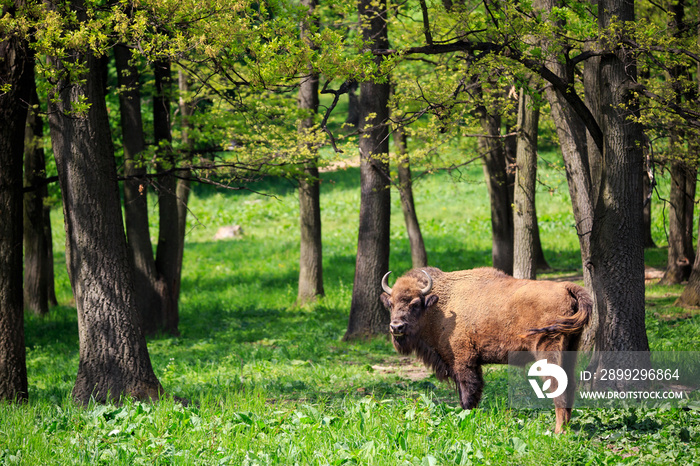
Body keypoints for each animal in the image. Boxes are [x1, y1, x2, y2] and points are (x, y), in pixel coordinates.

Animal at [382, 268, 592, 436]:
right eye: (391, 304)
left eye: (415, 304)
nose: (396, 327)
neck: (442, 305)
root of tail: (565, 287)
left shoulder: (464, 361)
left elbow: (469, 393)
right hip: (571, 349)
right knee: (570, 385)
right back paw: (566, 428)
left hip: (547, 351)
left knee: (558, 387)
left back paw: (558, 432)